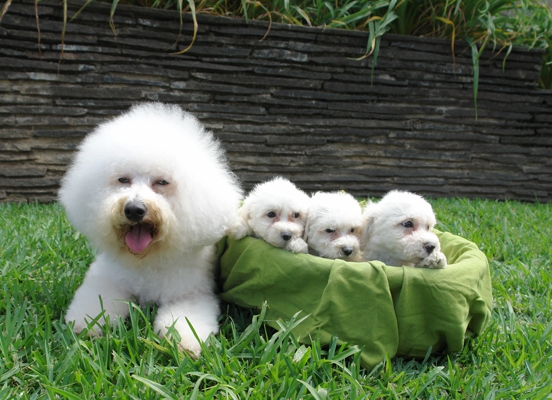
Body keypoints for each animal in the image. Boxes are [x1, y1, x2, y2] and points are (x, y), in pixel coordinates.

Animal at [58, 102, 244, 356]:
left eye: (162, 182)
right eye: (123, 179)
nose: (134, 210)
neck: (146, 259)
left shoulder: (191, 294)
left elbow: (185, 320)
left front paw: (185, 342)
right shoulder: (107, 279)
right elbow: (96, 302)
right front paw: (85, 325)